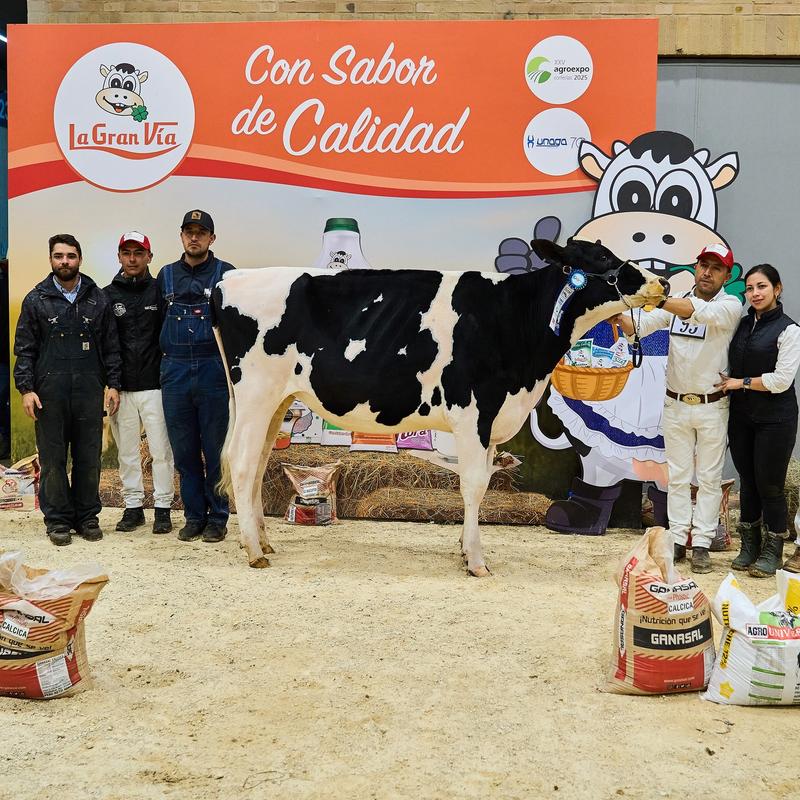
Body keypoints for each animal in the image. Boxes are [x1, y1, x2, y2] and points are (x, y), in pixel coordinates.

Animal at [212, 239, 667, 576]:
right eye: (603, 257)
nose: (661, 281)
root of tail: (229, 280)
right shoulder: (474, 413)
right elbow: (474, 485)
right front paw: (477, 561)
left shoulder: (490, 419)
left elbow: (483, 482)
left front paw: (466, 549)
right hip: (255, 394)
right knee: (242, 461)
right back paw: (254, 551)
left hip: (277, 402)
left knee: (258, 463)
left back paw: (263, 539)